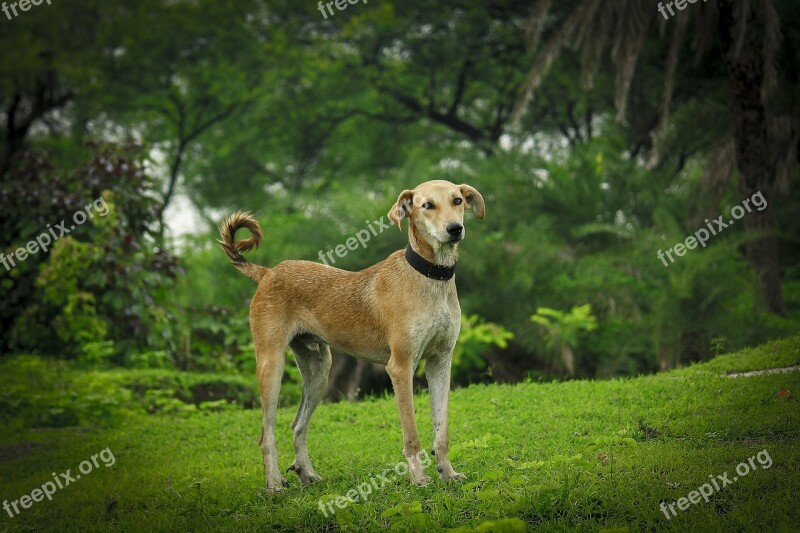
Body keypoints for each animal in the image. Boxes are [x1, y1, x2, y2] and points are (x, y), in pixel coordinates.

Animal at [216, 179, 484, 490]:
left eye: (457, 201)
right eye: (427, 205)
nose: (455, 229)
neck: (429, 276)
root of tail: (268, 272)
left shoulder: (440, 363)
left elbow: (441, 432)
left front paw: (447, 472)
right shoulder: (401, 367)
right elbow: (411, 435)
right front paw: (418, 477)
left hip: (319, 372)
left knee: (297, 425)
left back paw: (307, 474)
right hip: (272, 366)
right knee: (266, 434)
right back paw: (274, 485)